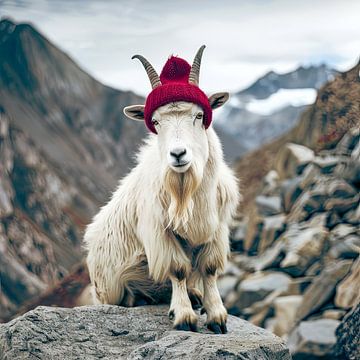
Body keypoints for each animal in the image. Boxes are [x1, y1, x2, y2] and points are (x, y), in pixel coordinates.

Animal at [84, 46, 240, 334]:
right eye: (155, 121)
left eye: (199, 115)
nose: (178, 154)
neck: (187, 193)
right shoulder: (160, 231)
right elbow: (178, 269)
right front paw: (184, 317)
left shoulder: (217, 229)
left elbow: (209, 269)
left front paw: (216, 316)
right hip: (107, 290)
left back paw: (195, 296)